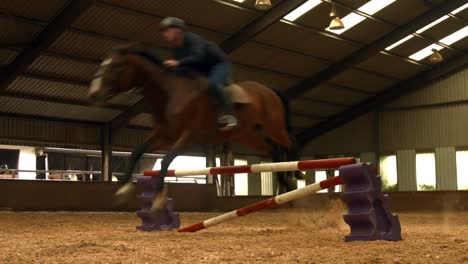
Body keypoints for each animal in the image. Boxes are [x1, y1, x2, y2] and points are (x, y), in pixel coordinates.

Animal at [87, 43, 302, 210]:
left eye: (117, 66)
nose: (94, 95)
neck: (170, 93)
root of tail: (269, 90)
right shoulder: (163, 135)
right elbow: (137, 152)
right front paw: (123, 189)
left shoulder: (190, 136)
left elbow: (166, 161)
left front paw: (158, 198)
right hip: (248, 135)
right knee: (274, 150)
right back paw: (286, 182)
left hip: (274, 127)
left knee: (291, 143)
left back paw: (296, 174)